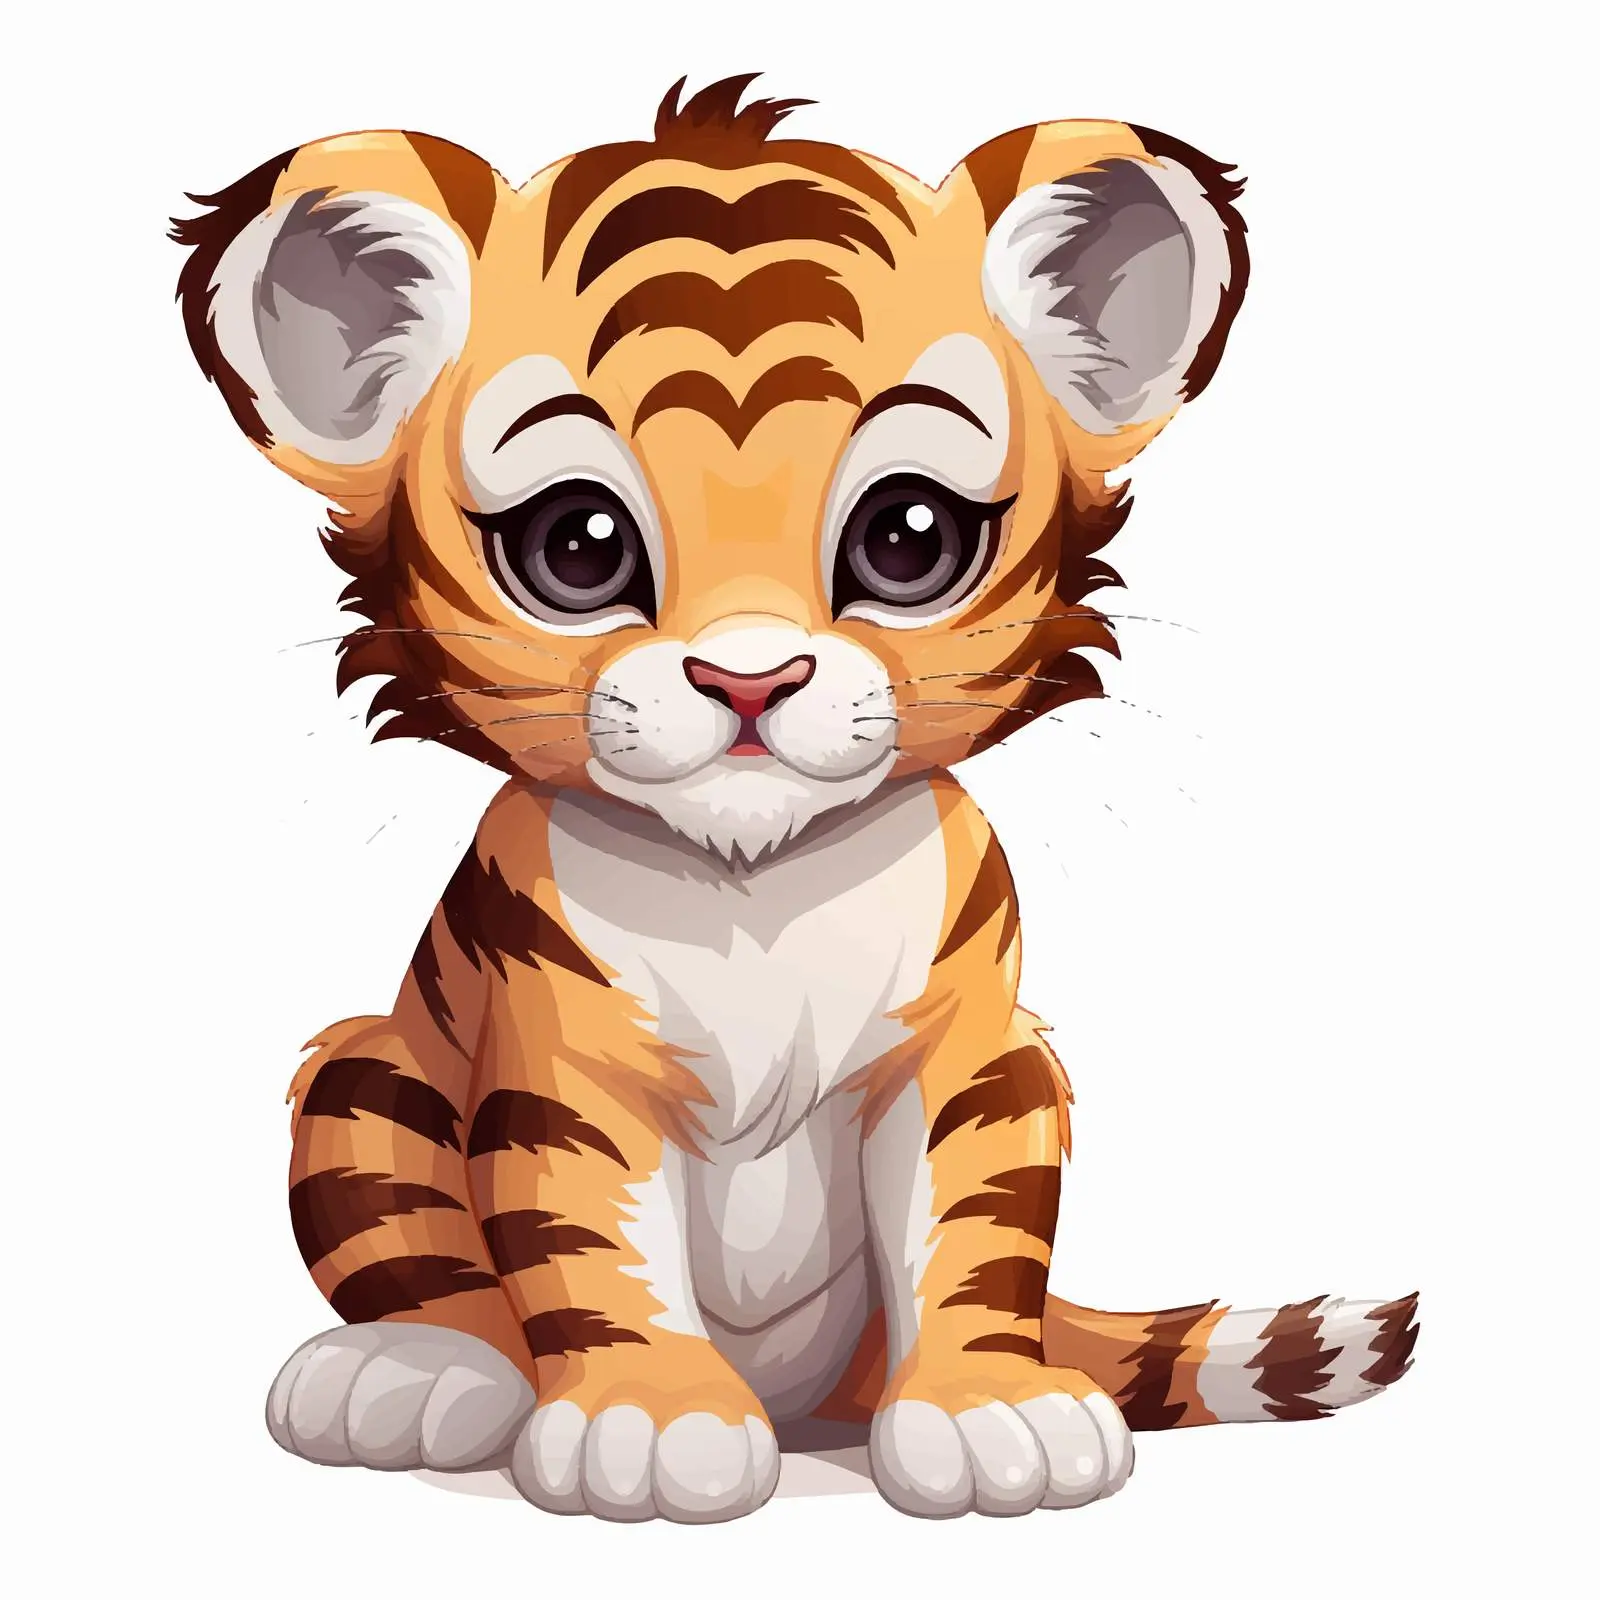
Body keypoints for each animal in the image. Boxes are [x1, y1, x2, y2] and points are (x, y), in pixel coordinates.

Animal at [172, 73, 1417, 1524]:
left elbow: (971, 1236)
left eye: (908, 536)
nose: (750, 677)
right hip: (365, 1076)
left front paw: (991, 1412)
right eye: (577, 547)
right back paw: (415, 1371)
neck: (751, 878)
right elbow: (588, 1242)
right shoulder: (561, 1067)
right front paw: (651, 1423)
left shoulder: (970, 1058)